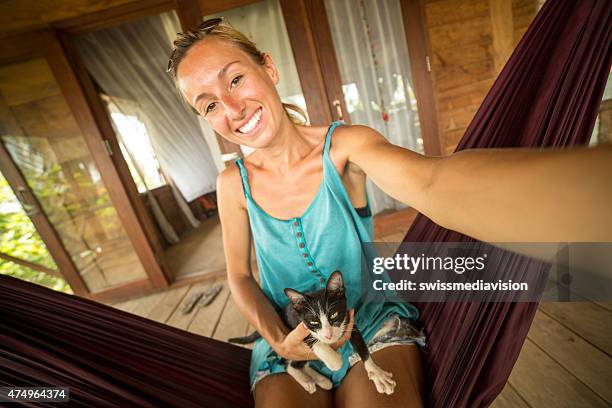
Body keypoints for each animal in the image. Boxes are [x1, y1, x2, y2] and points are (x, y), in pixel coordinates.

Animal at [230, 270, 396, 396]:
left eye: (334, 315)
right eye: (314, 322)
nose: (328, 335)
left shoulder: (349, 321)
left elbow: (362, 347)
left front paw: (377, 373)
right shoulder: (297, 325)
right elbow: (313, 341)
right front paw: (334, 360)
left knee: (298, 364)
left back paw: (320, 380)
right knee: (288, 364)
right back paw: (307, 381)